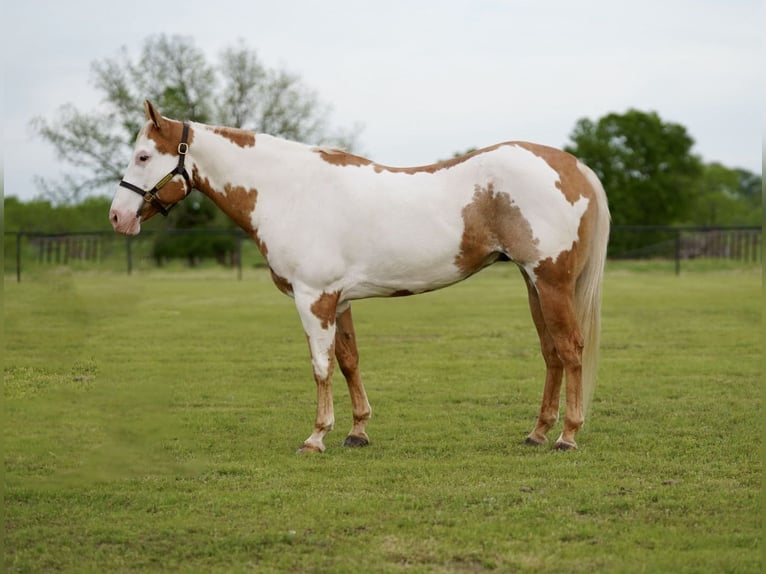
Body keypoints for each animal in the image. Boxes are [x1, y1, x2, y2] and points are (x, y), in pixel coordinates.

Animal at [109, 102, 612, 454]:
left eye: (143, 155)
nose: (117, 216)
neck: (289, 191)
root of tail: (572, 165)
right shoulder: (340, 299)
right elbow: (350, 361)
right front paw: (357, 431)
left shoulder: (313, 298)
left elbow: (321, 366)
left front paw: (316, 437)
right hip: (534, 284)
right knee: (551, 353)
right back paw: (538, 433)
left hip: (551, 283)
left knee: (571, 350)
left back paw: (567, 437)